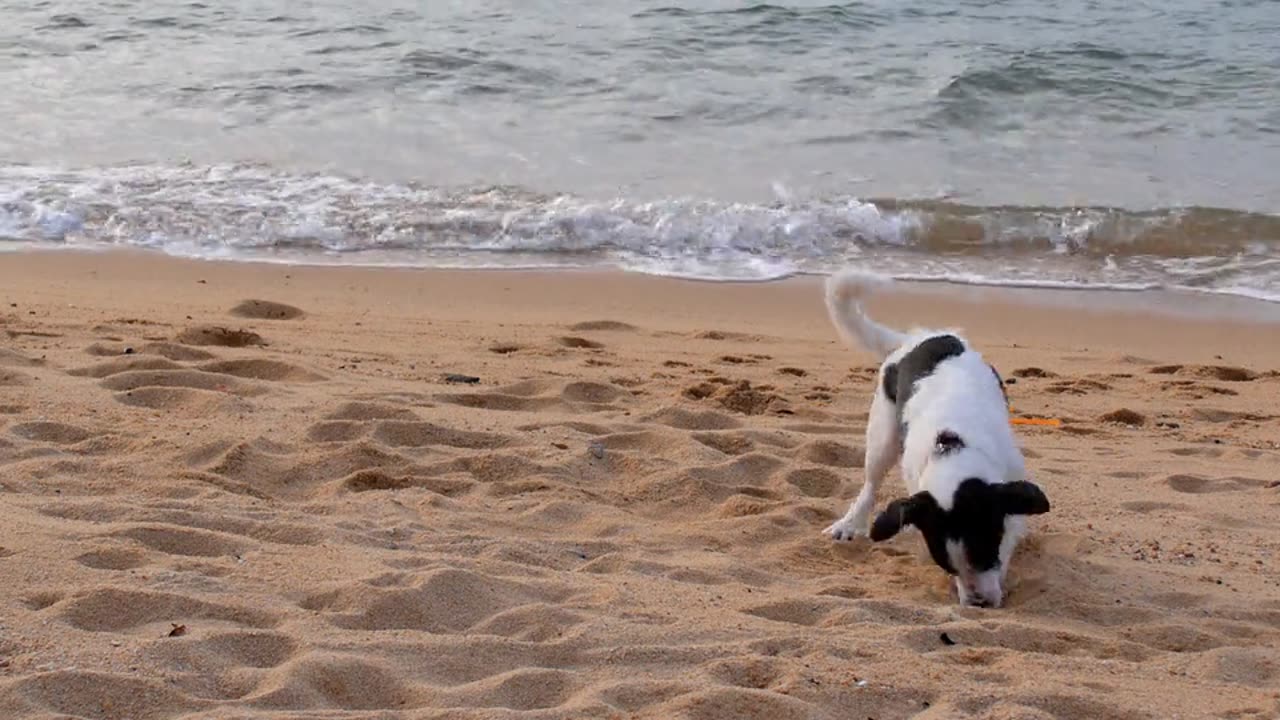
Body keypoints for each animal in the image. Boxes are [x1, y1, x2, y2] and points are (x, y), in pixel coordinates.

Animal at [819, 269, 1049, 604]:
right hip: (883, 435)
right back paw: (850, 523)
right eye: (948, 566)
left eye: (986, 552)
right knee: (870, 485)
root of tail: (914, 340)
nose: (978, 604)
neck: (954, 444)